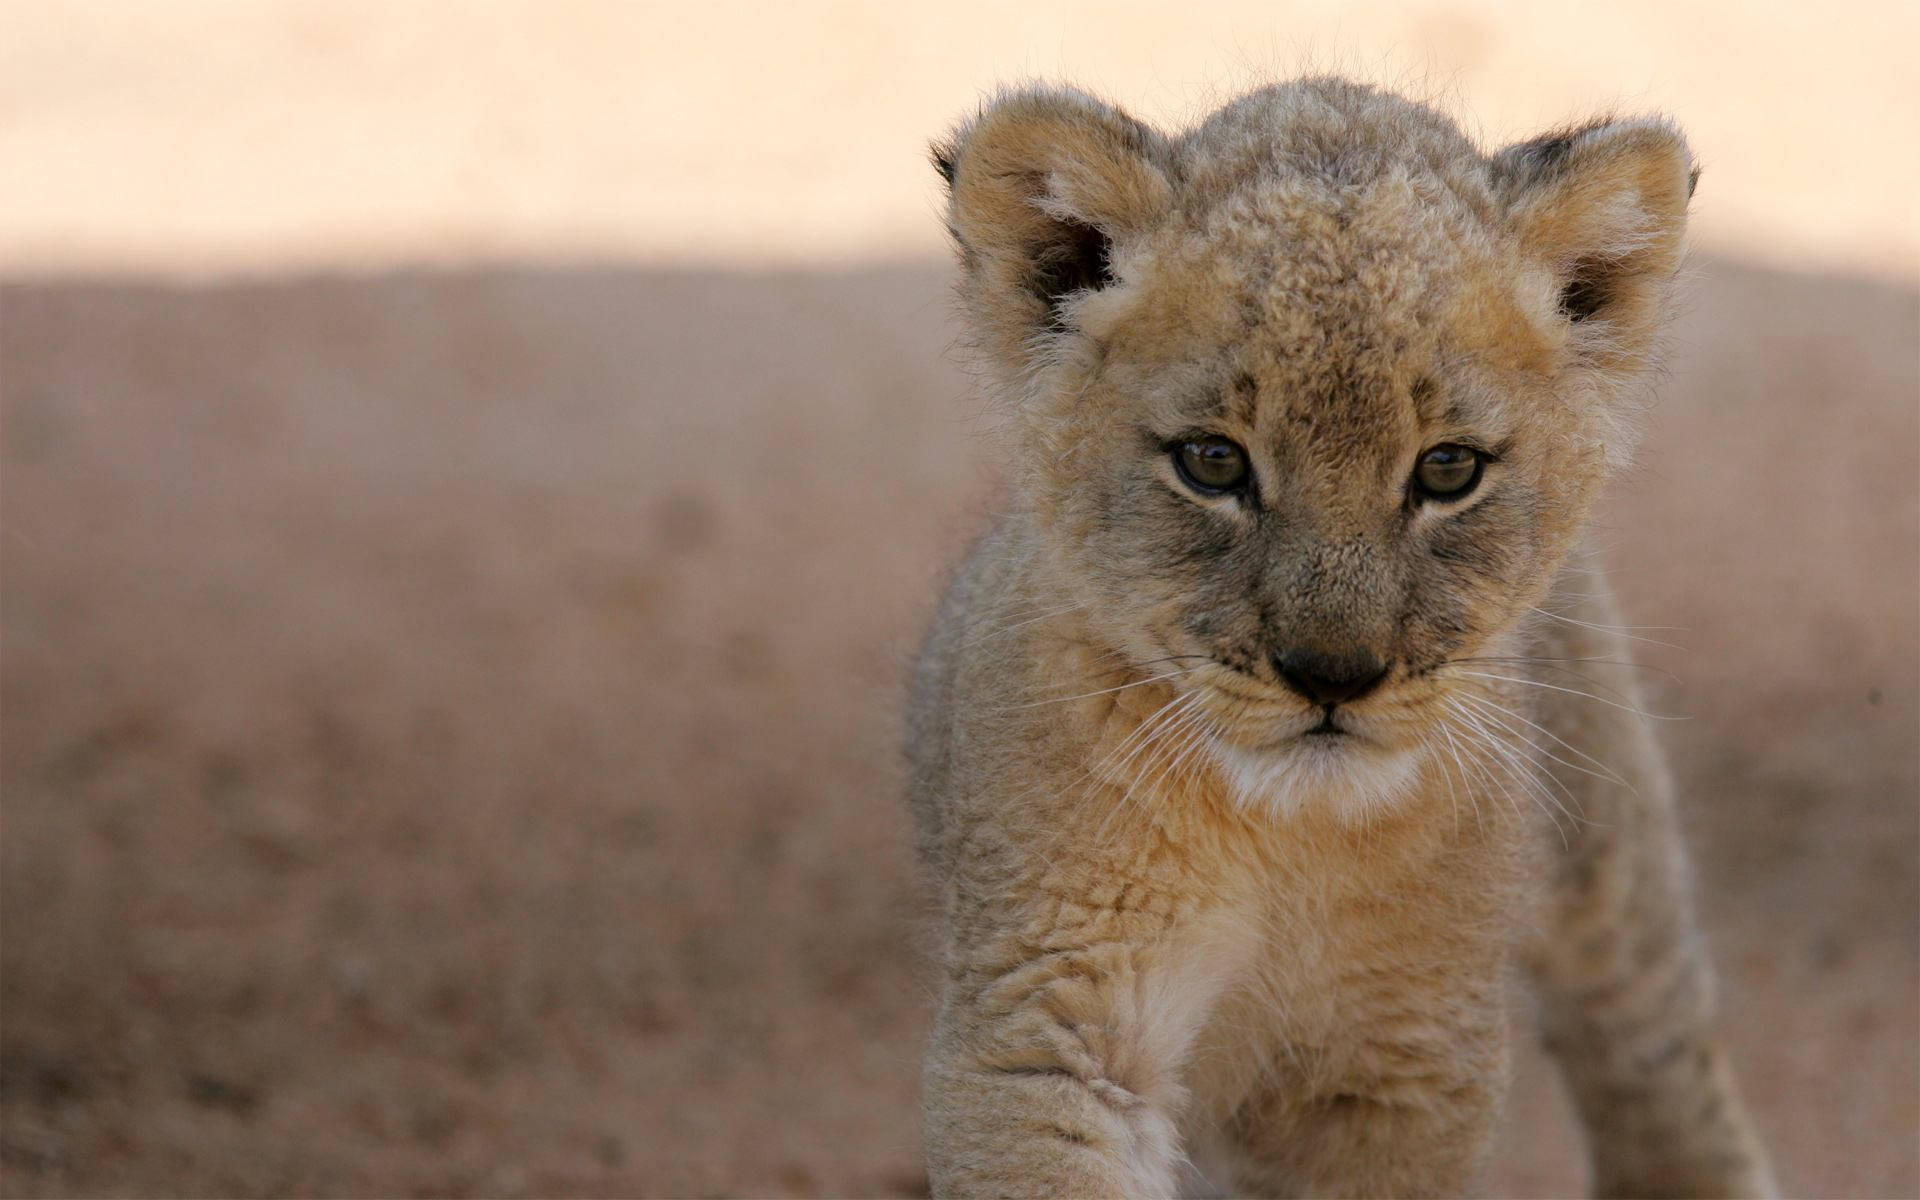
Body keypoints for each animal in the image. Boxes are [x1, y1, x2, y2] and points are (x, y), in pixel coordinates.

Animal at [905, 78, 1776, 1198]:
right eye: (1211, 462)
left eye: (1448, 469)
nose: (1332, 675)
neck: (1286, 839)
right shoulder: (1050, 1020)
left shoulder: (1402, 1061)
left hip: (1608, 845)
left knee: (1652, 1045)